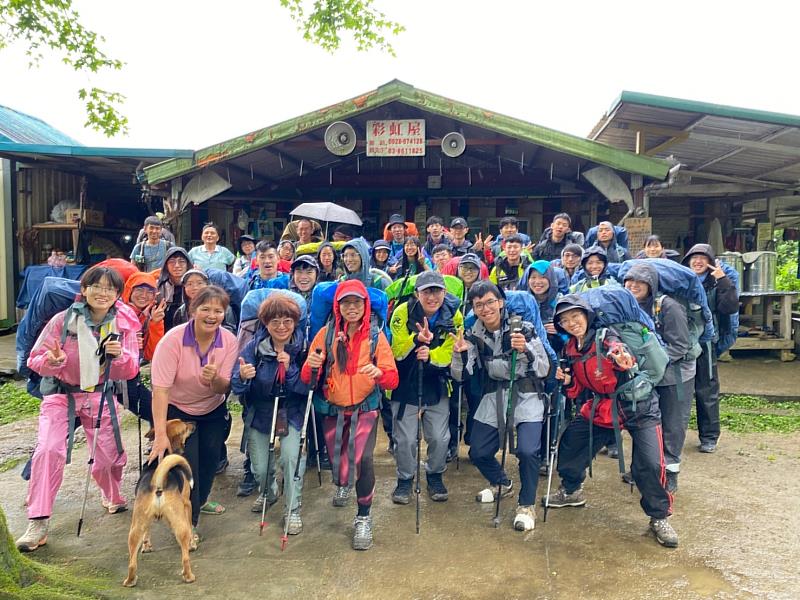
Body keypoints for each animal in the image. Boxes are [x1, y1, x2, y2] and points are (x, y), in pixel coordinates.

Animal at [122, 418, 196, 584]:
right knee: (185, 557)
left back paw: (130, 581)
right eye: (185, 427)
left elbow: (147, 531)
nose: (194, 423)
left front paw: (147, 546)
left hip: (135, 527)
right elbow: (190, 525)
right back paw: (189, 575)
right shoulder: (187, 504)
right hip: (180, 523)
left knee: (131, 561)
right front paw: (193, 543)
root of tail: (158, 483)